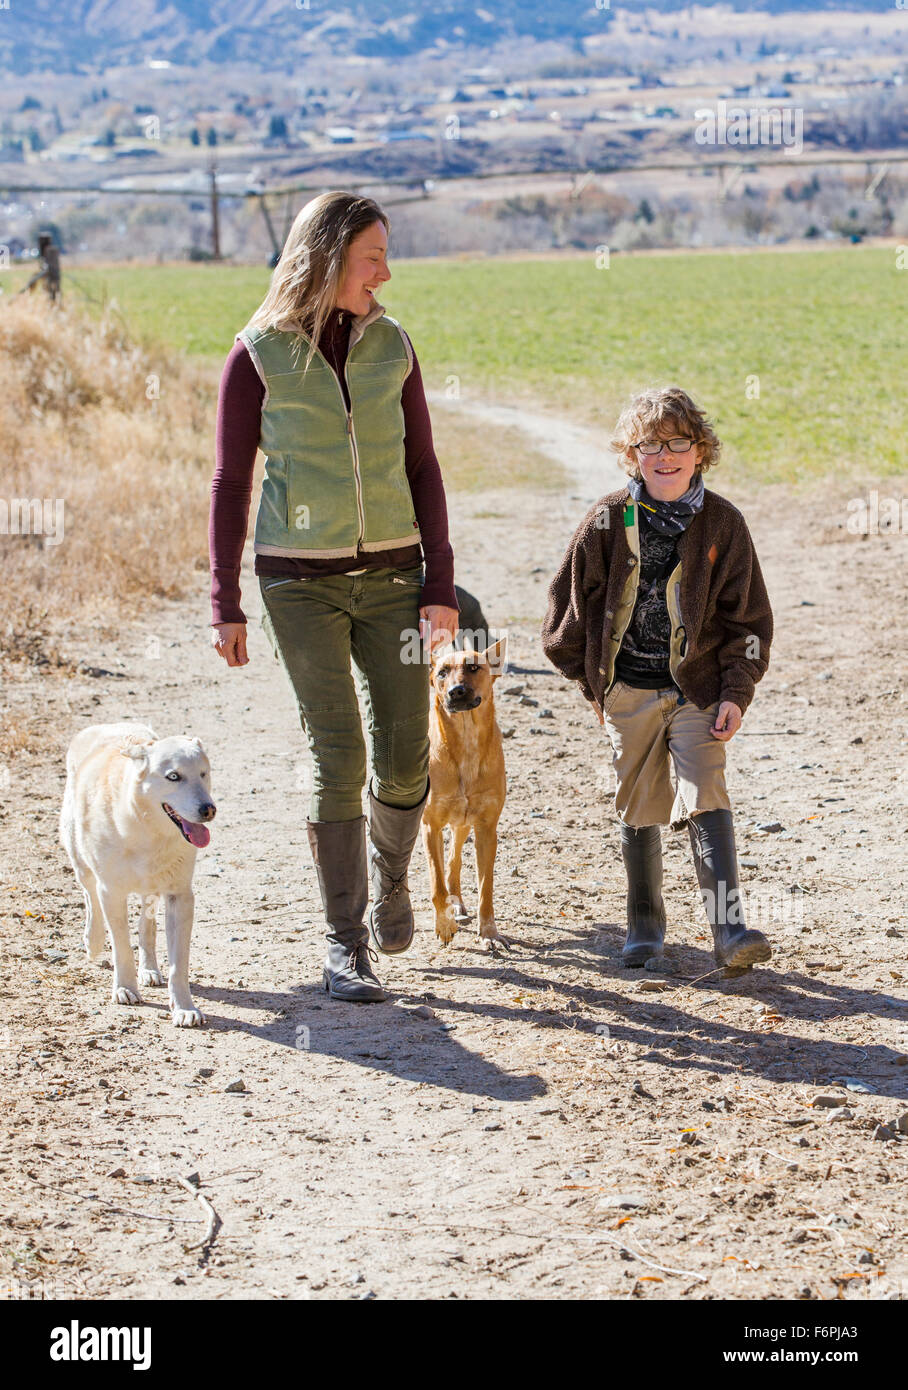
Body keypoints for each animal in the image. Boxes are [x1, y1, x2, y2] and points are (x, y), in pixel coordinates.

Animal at [60, 722, 215, 1028]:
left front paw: (184, 1008)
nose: (209, 810)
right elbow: (121, 946)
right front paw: (125, 989)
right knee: (89, 896)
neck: (147, 833)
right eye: (174, 776)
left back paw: (149, 969)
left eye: (204, 773)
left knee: (146, 924)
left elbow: (179, 964)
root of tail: (105, 725)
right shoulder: (111, 892)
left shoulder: (180, 896)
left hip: (152, 888)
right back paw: (93, 942)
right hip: (81, 861)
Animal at [422, 636, 506, 945]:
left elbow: (485, 888)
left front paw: (489, 932)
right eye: (442, 673)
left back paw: (457, 901)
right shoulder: (430, 825)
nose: (456, 691)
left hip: (463, 823)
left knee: (453, 861)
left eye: (473, 667)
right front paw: (444, 924)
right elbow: (436, 884)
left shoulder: (486, 828)